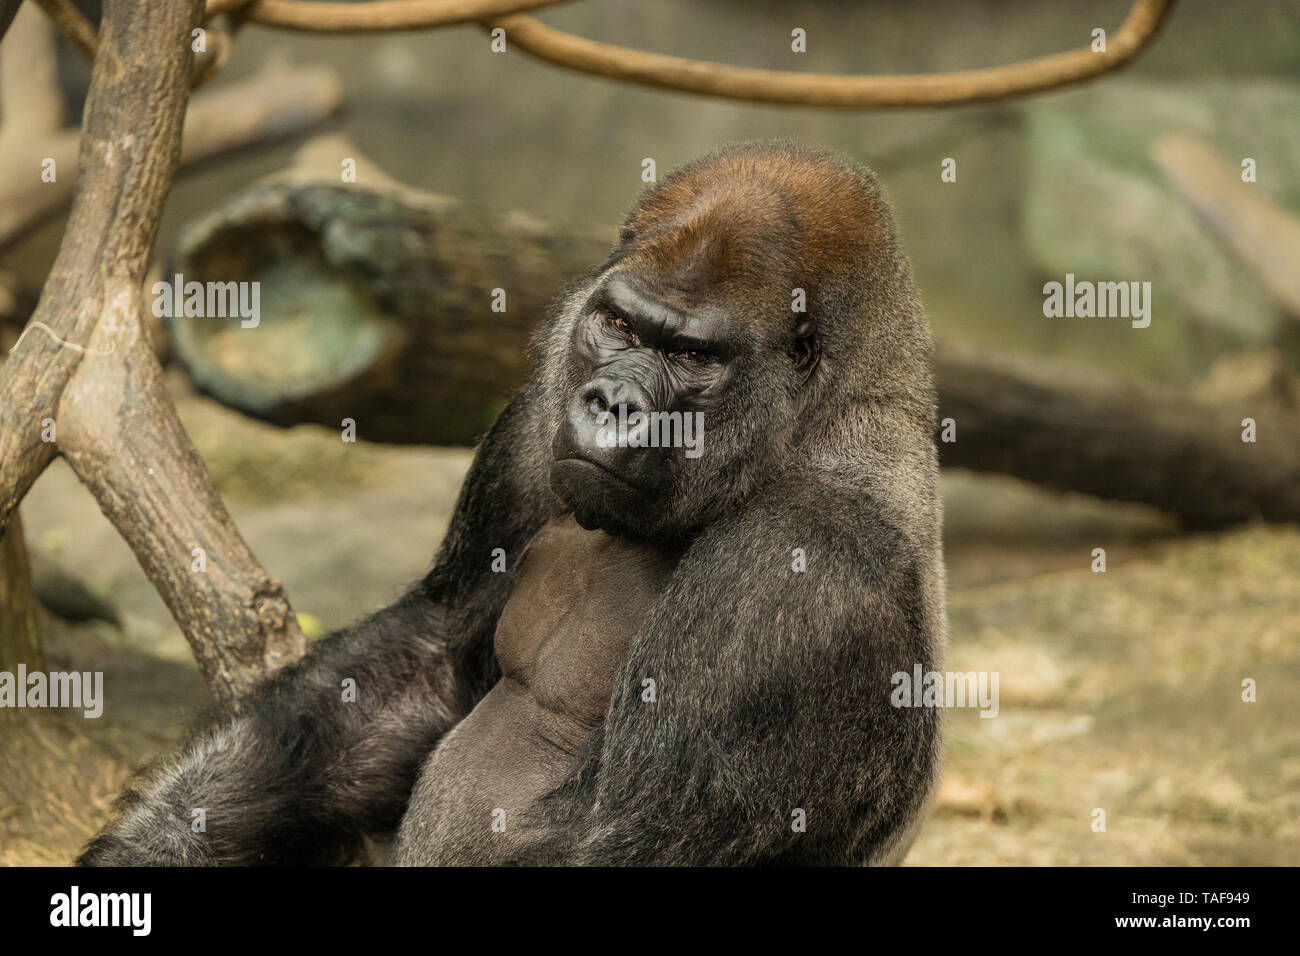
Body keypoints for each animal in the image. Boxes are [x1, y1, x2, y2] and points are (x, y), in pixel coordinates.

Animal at [83, 141, 956, 868]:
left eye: (691, 354)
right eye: (617, 323)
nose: (611, 404)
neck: (811, 427)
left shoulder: (800, 571)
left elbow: (630, 842)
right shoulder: (536, 422)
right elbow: (428, 664)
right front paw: (162, 838)